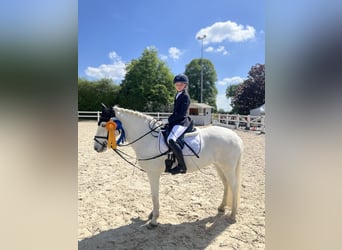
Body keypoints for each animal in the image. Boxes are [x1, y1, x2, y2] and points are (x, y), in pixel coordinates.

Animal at [93, 105, 243, 227]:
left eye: (103, 125)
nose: (96, 147)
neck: (148, 139)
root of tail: (236, 137)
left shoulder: (153, 173)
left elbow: (154, 195)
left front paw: (154, 220)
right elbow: (154, 195)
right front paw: (152, 215)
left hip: (228, 167)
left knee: (234, 186)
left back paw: (233, 216)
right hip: (219, 166)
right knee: (226, 185)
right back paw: (222, 207)